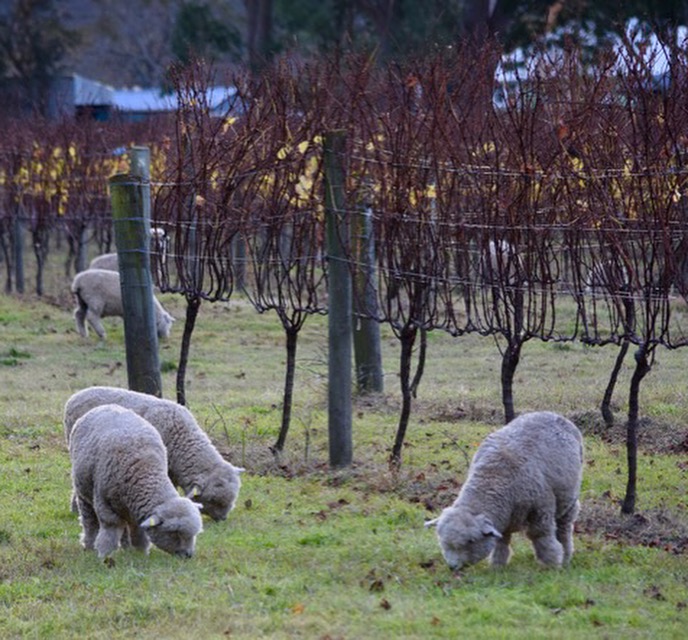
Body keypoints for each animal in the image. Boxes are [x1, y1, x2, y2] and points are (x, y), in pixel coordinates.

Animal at [70, 404, 203, 559]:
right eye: (174, 533)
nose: (188, 555)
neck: (144, 470)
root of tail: (105, 406)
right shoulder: (105, 506)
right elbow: (110, 532)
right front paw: (104, 555)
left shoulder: (137, 510)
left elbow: (138, 532)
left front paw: (141, 553)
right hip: (83, 492)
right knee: (89, 522)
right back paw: (89, 546)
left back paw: (126, 548)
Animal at [425, 411, 583, 570]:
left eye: (470, 541)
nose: (452, 567)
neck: (493, 477)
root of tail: (551, 413)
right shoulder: (503, 517)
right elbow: (501, 541)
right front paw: (497, 566)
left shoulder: (540, 510)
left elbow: (541, 536)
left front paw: (551, 564)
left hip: (569, 499)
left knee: (564, 528)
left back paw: (566, 556)